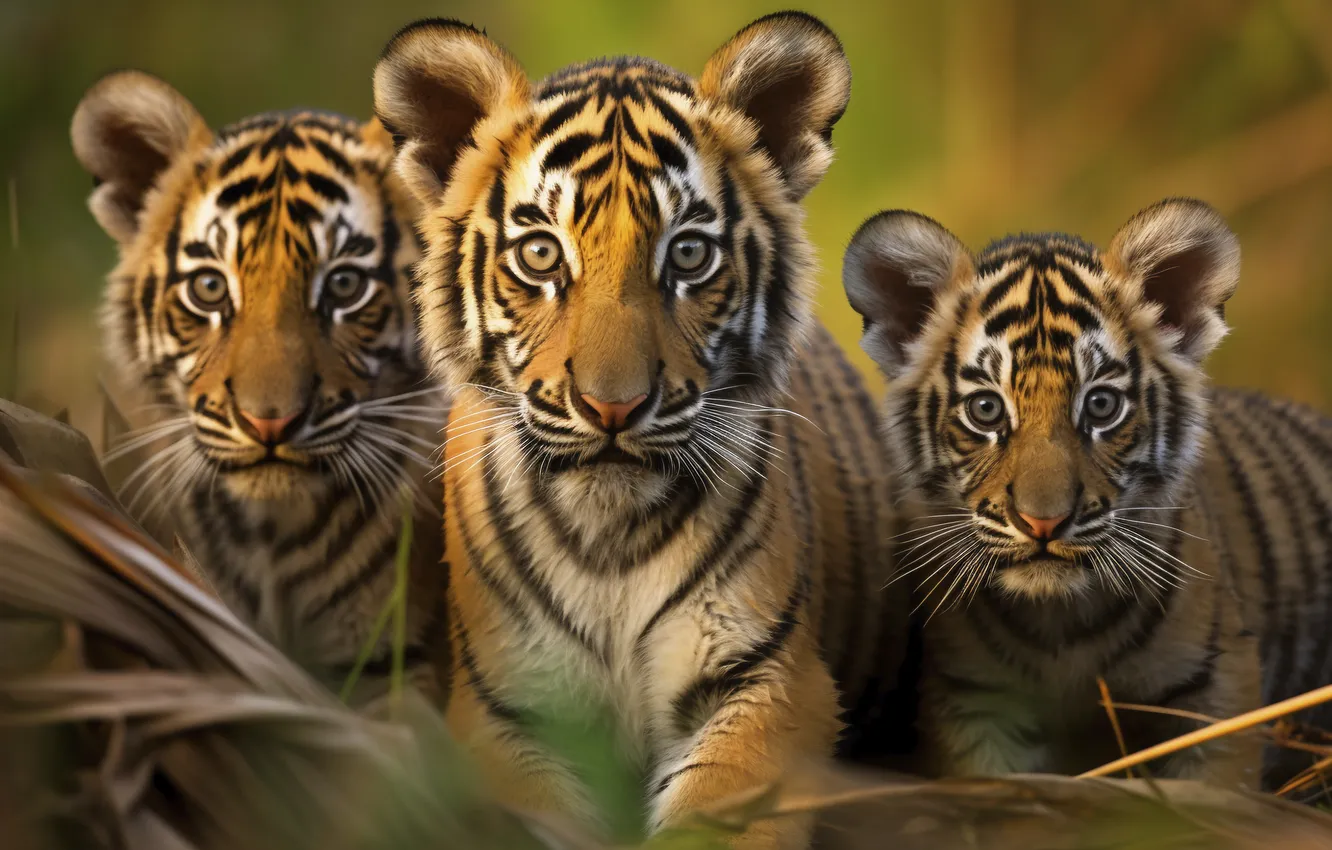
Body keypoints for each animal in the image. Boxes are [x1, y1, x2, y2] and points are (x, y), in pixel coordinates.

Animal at [372, 12, 910, 847]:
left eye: (687, 254)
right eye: (541, 253)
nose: (613, 408)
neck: (609, 535)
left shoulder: (768, 680)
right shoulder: (505, 709)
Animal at [842, 197, 1332, 791]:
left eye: (1101, 406)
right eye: (986, 410)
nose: (1043, 523)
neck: (1062, 626)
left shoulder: (1216, 696)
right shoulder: (974, 705)